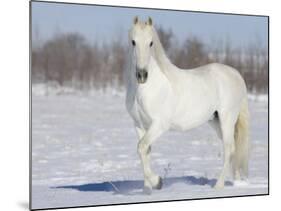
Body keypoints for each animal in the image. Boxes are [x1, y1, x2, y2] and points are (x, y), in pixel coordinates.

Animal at [126, 16, 248, 193]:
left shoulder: (159, 125)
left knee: (229, 149)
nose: (142, 75)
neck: (145, 89)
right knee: (235, 148)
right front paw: (147, 189)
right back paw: (237, 183)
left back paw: (218, 186)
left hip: (227, 119)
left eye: (151, 43)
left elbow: (141, 147)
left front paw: (158, 182)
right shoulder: (139, 125)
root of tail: (236, 74)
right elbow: (145, 151)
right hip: (216, 121)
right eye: (133, 42)